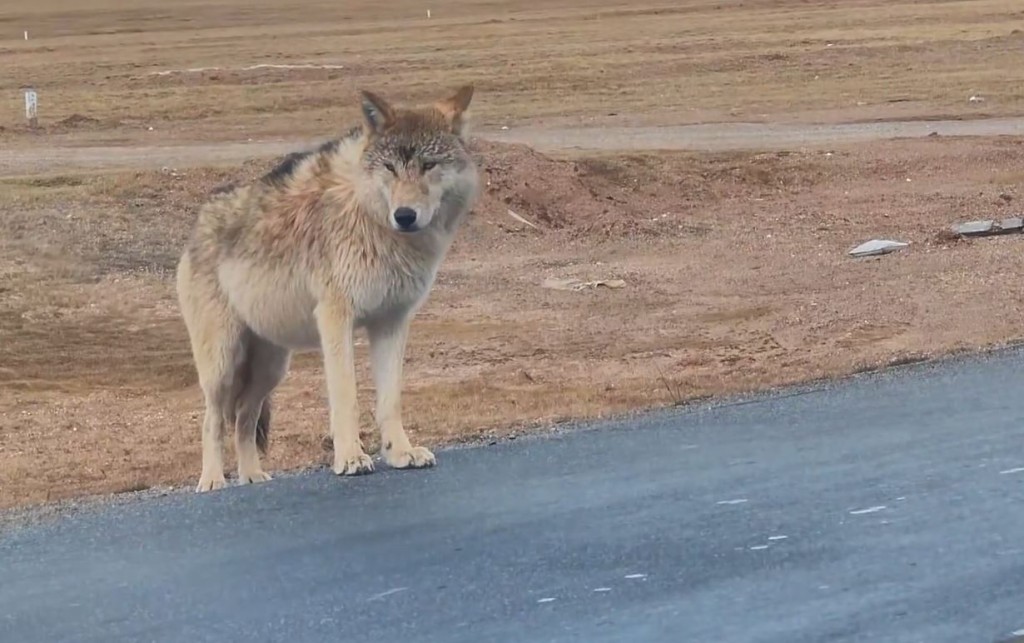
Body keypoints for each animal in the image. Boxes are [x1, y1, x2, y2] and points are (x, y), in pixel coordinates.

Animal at [175, 82, 479, 489]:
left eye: (428, 165)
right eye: (390, 167)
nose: (405, 215)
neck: (373, 219)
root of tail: (198, 224)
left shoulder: (392, 322)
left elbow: (390, 399)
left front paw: (400, 452)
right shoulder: (336, 317)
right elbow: (346, 396)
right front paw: (350, 458)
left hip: (271, 367)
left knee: (243, 417)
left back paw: (253, 476)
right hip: (223, 364)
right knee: (213, 419)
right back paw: (212, 481)